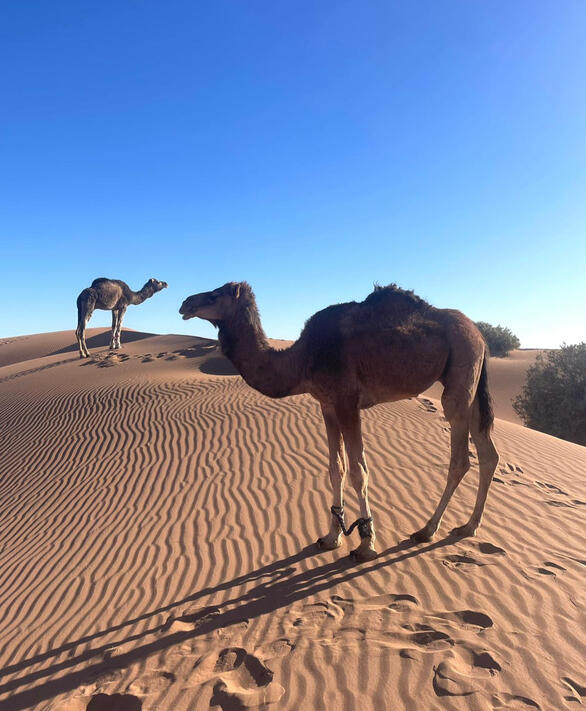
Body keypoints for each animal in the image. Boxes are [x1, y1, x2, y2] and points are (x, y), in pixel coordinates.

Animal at [179, 282, 499, 563]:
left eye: (215, 294)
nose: (185, 303)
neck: (301, 359)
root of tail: (481, 337)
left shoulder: (347, 403)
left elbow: (359, 472)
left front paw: (366, 544)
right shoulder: (327, 405)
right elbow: (336, 469)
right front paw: (332, 537)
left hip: (460, 373)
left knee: (460, 458)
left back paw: (427, 529)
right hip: (468, 383)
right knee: (488, 454)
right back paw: (468, 526)